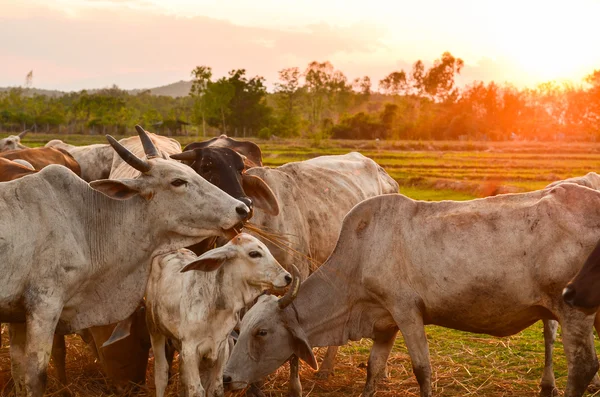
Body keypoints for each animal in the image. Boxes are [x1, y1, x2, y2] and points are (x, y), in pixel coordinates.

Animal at [1, 124, 250, 396]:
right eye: (177, 181)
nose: (242, 209)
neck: (84, 220)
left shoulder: (17, 315)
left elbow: (18, 371)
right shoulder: (44, 306)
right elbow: (35, 377)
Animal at [145, 232, 290, 396]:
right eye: (254, 253)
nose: (287, 277)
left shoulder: (222, 346)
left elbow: (216, 387)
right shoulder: (190, 350)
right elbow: (196, 389)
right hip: (154, 328)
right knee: (161, 373)